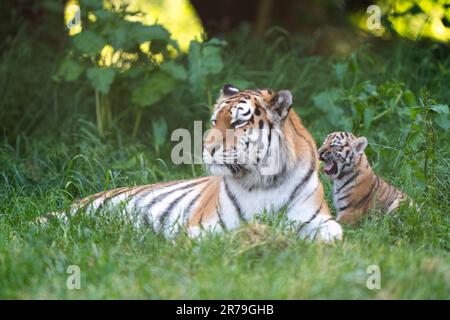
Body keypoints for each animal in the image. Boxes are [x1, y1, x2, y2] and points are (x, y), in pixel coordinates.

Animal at [44, 85, 342, 242]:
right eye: (214, 121)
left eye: (238, 122)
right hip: (70, 213)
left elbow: (335, 232)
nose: (205, 148)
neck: (263, 180)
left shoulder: (318, 220)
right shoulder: (202, 228)